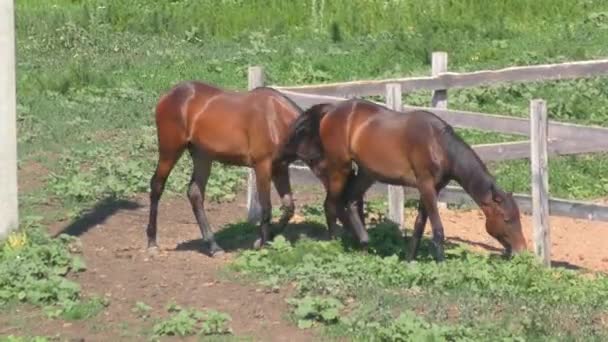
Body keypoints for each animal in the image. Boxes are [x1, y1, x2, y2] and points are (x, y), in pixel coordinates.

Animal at [145, 81, 302, 255]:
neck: (275, 119)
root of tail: (168, 95)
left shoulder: (280, 168)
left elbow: (288, 207)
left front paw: (270, 237)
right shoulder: (262, 166)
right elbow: (266, 207)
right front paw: (261, 243)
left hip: (202, 156)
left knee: (195, 193)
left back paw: (213, 246)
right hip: (170, 150)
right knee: (157, 185)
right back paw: (152, 243)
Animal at [280, 99, 528, 262]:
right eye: (507, 219)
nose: (522, 250)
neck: (438, 144)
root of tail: (331, 111)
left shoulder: (431, 189)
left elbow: (419, 225)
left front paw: (410, 259)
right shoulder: (426, 185)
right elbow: (437, 228)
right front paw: (440, 263)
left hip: (367, 173)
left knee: (349, 202)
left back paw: (364, 243)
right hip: (339, 168)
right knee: (331, 204)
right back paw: (335, 243)